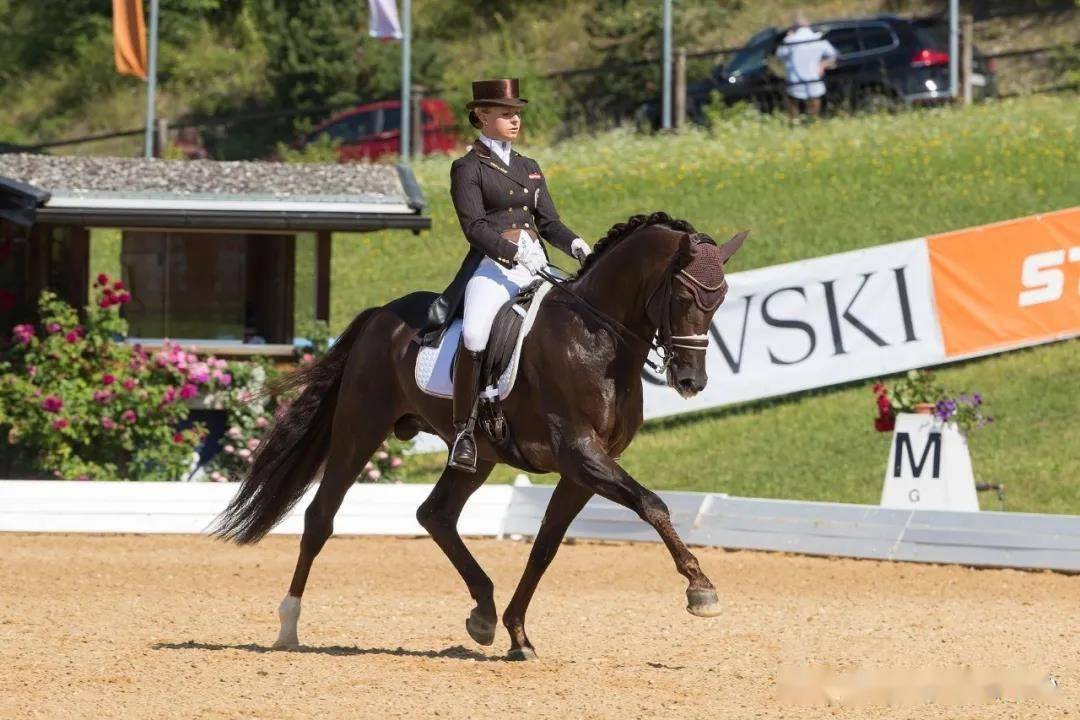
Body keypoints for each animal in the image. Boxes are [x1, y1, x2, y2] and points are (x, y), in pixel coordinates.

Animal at [214, 211, 747, 660]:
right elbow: (652, 504)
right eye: (683, 298)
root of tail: (381, 314)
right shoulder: (582, 455)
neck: (597, 337)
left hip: (476, 453)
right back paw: (288, 626)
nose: (691, 381)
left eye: (719, 300)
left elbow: (545, 547)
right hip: (359, 430)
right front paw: (701, 589)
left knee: (435, 514)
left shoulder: (584, 469)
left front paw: (518, 634)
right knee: (321, 518)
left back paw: (484, 614)